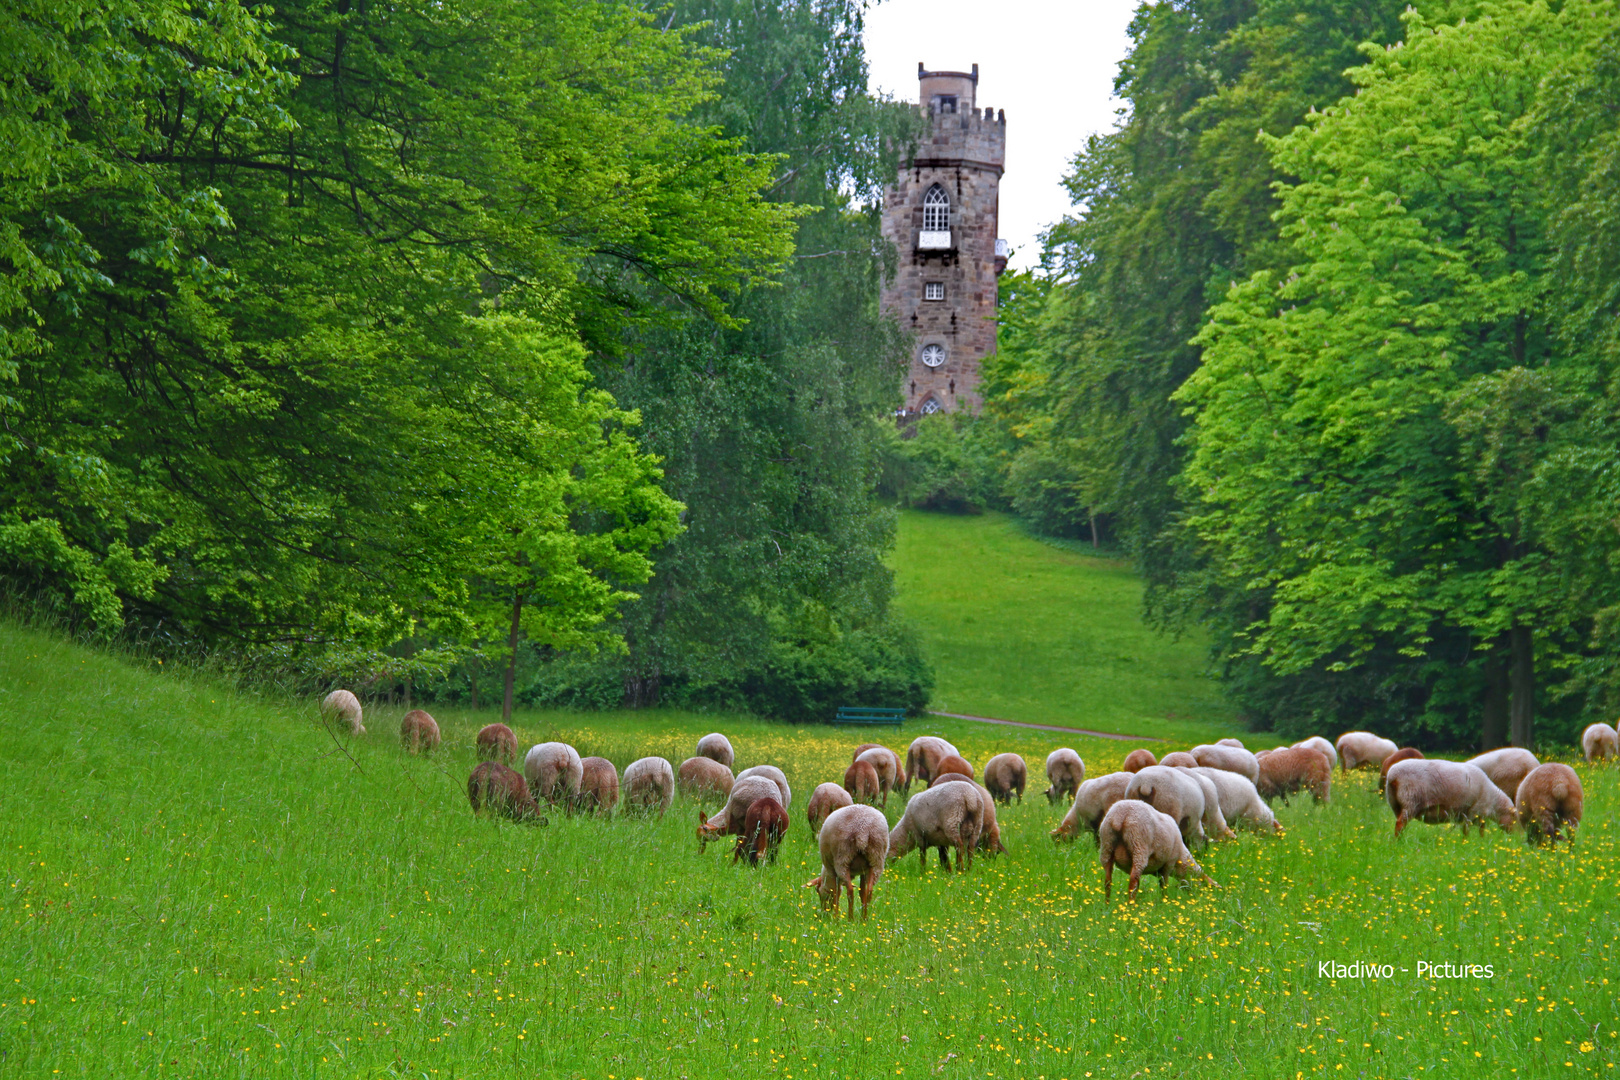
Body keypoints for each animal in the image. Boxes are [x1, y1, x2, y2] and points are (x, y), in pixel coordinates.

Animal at [1380, 757, 1516, 841]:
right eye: (1515, 819)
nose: (1513, 837)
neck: (1494, 802)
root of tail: (1392, 775)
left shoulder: (1476, 815)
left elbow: (1481, 829)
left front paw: (1481, 842)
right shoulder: (1473, 811)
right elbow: (1467, 830)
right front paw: (1466, 843)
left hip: (1396, 803)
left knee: (1399, 824)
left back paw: (1399, 839)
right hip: (1411, 801)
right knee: (1400, 824)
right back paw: (1398, 842)